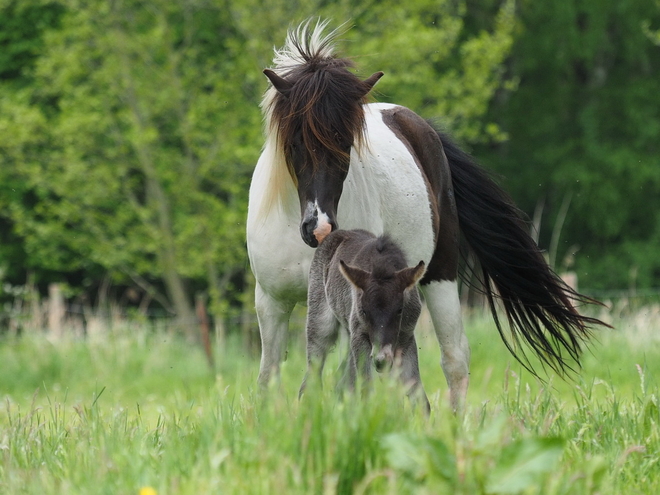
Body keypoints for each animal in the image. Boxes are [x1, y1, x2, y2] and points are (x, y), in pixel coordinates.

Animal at [300, 229, 428, 410]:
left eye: (400, 310)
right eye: (364, 311)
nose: (380, 361)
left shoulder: (406, 336)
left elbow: (417, 392)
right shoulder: (360, 336)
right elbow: (366, 387)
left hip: (349, 335)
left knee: (343, 380)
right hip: (321, 324)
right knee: (313, 374)